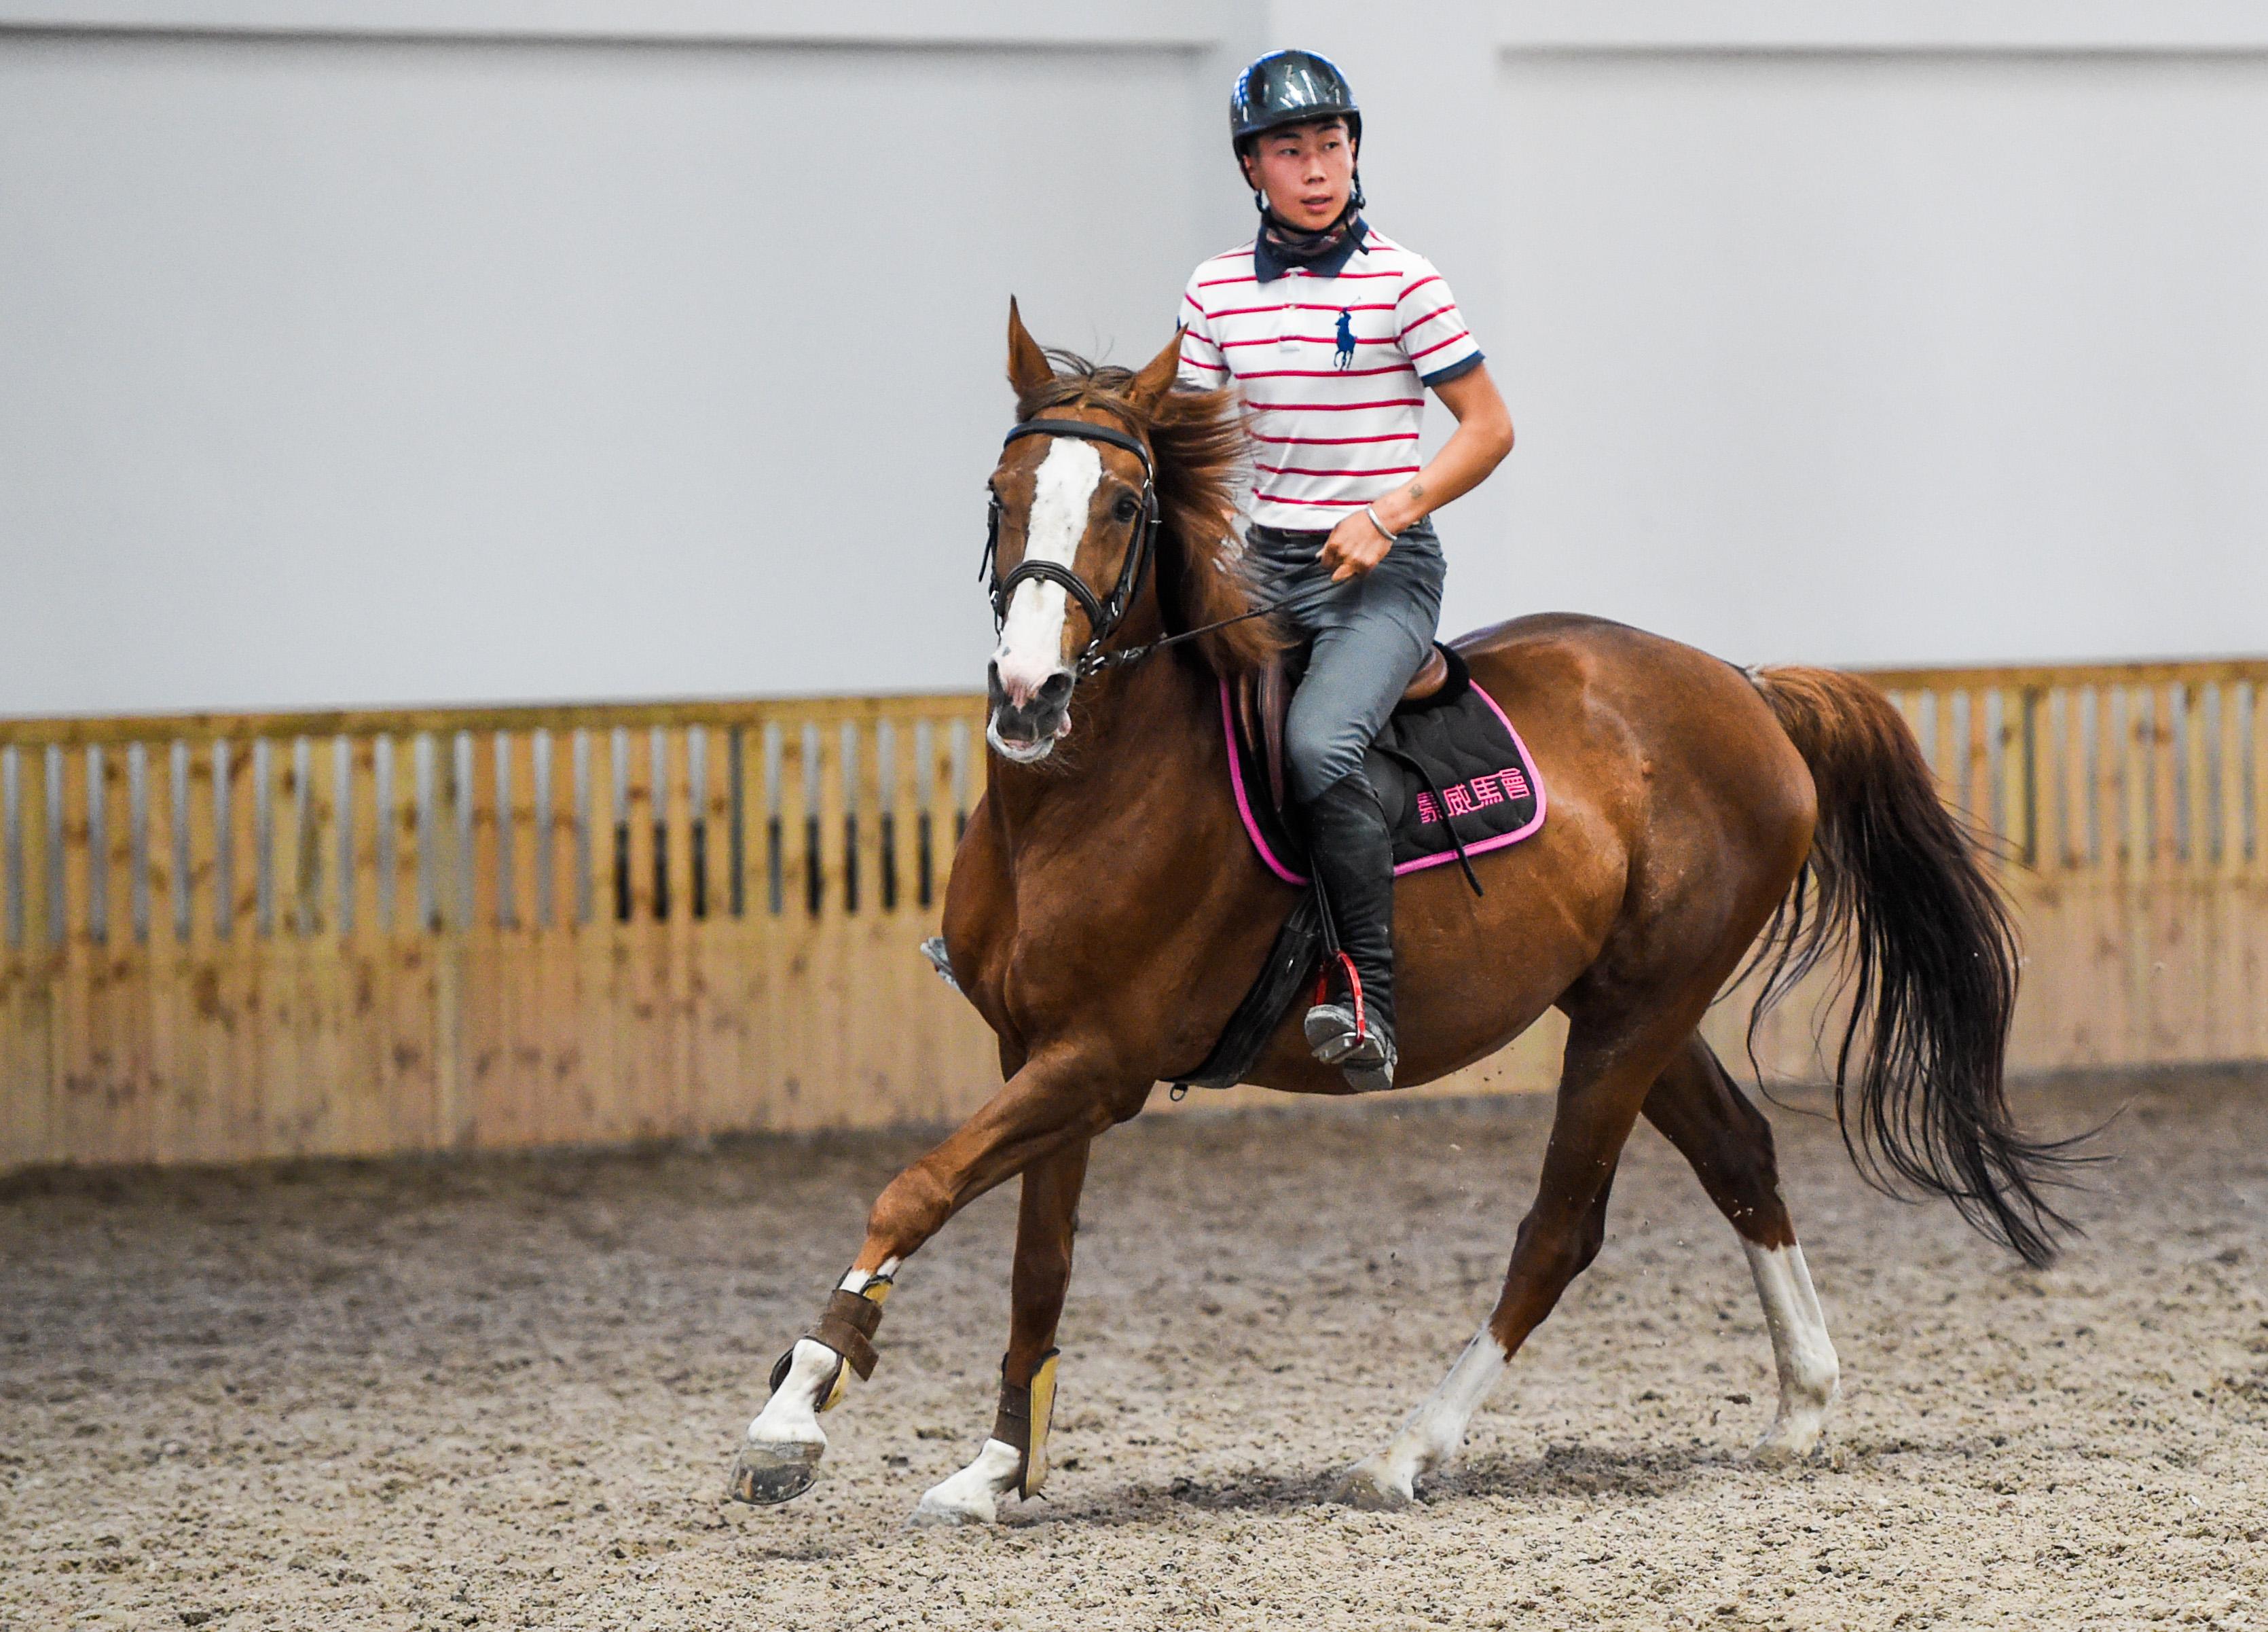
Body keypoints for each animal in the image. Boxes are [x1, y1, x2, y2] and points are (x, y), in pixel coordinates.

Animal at [730, 313, 2077, 1525]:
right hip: (1637, 1002)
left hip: (1636, 1013)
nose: (1028, 694)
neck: (1078, 797)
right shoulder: (1038, 1052)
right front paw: (998, 1467)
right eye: (1002, 492)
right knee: (1740, 1156)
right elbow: (1037, 1264)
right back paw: (1802, 1408)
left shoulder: (1099, 1062)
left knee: (1563, 1223)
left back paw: (1404, 1452)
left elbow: (913, 1188)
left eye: (1122, 506)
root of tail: (1744, 686)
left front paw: (793, 1416)